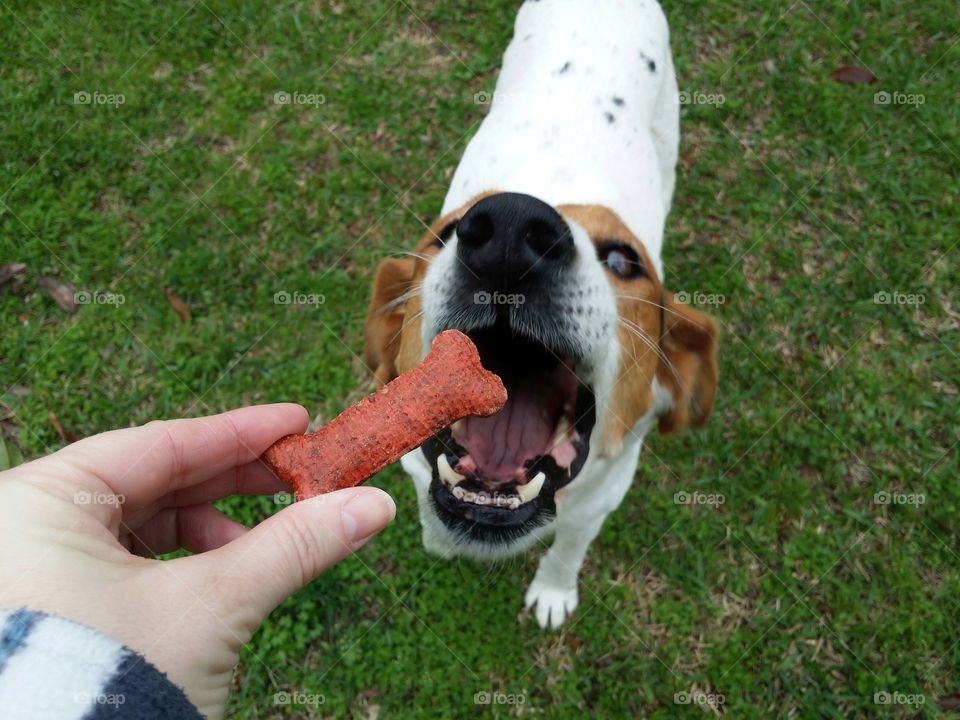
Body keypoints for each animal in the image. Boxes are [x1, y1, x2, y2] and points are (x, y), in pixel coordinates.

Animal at [364, 0, 716, 632]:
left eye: (624, 260)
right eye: (444, 234)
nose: (508, 231)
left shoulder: (597, 504)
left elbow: (567, 549)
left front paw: (553, 591)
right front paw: (437, 541)